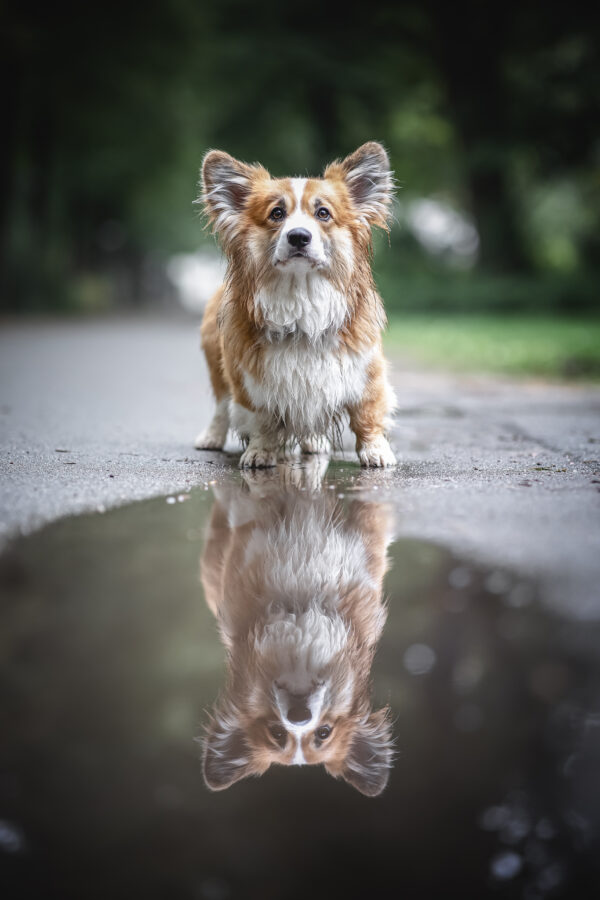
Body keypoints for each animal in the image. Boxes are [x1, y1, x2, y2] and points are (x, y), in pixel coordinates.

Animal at [195, 141, 396, 472]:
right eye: (277, 213)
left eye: (323, 213)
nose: (299, 236)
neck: (302, 298)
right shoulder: (251, 382)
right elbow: (261, 421)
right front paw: (259, 453)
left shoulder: (365, 372)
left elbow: (367, 417)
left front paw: (377, 452)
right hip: (218, 365)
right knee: (222, 407)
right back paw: (211, 437)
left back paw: (314, 443)